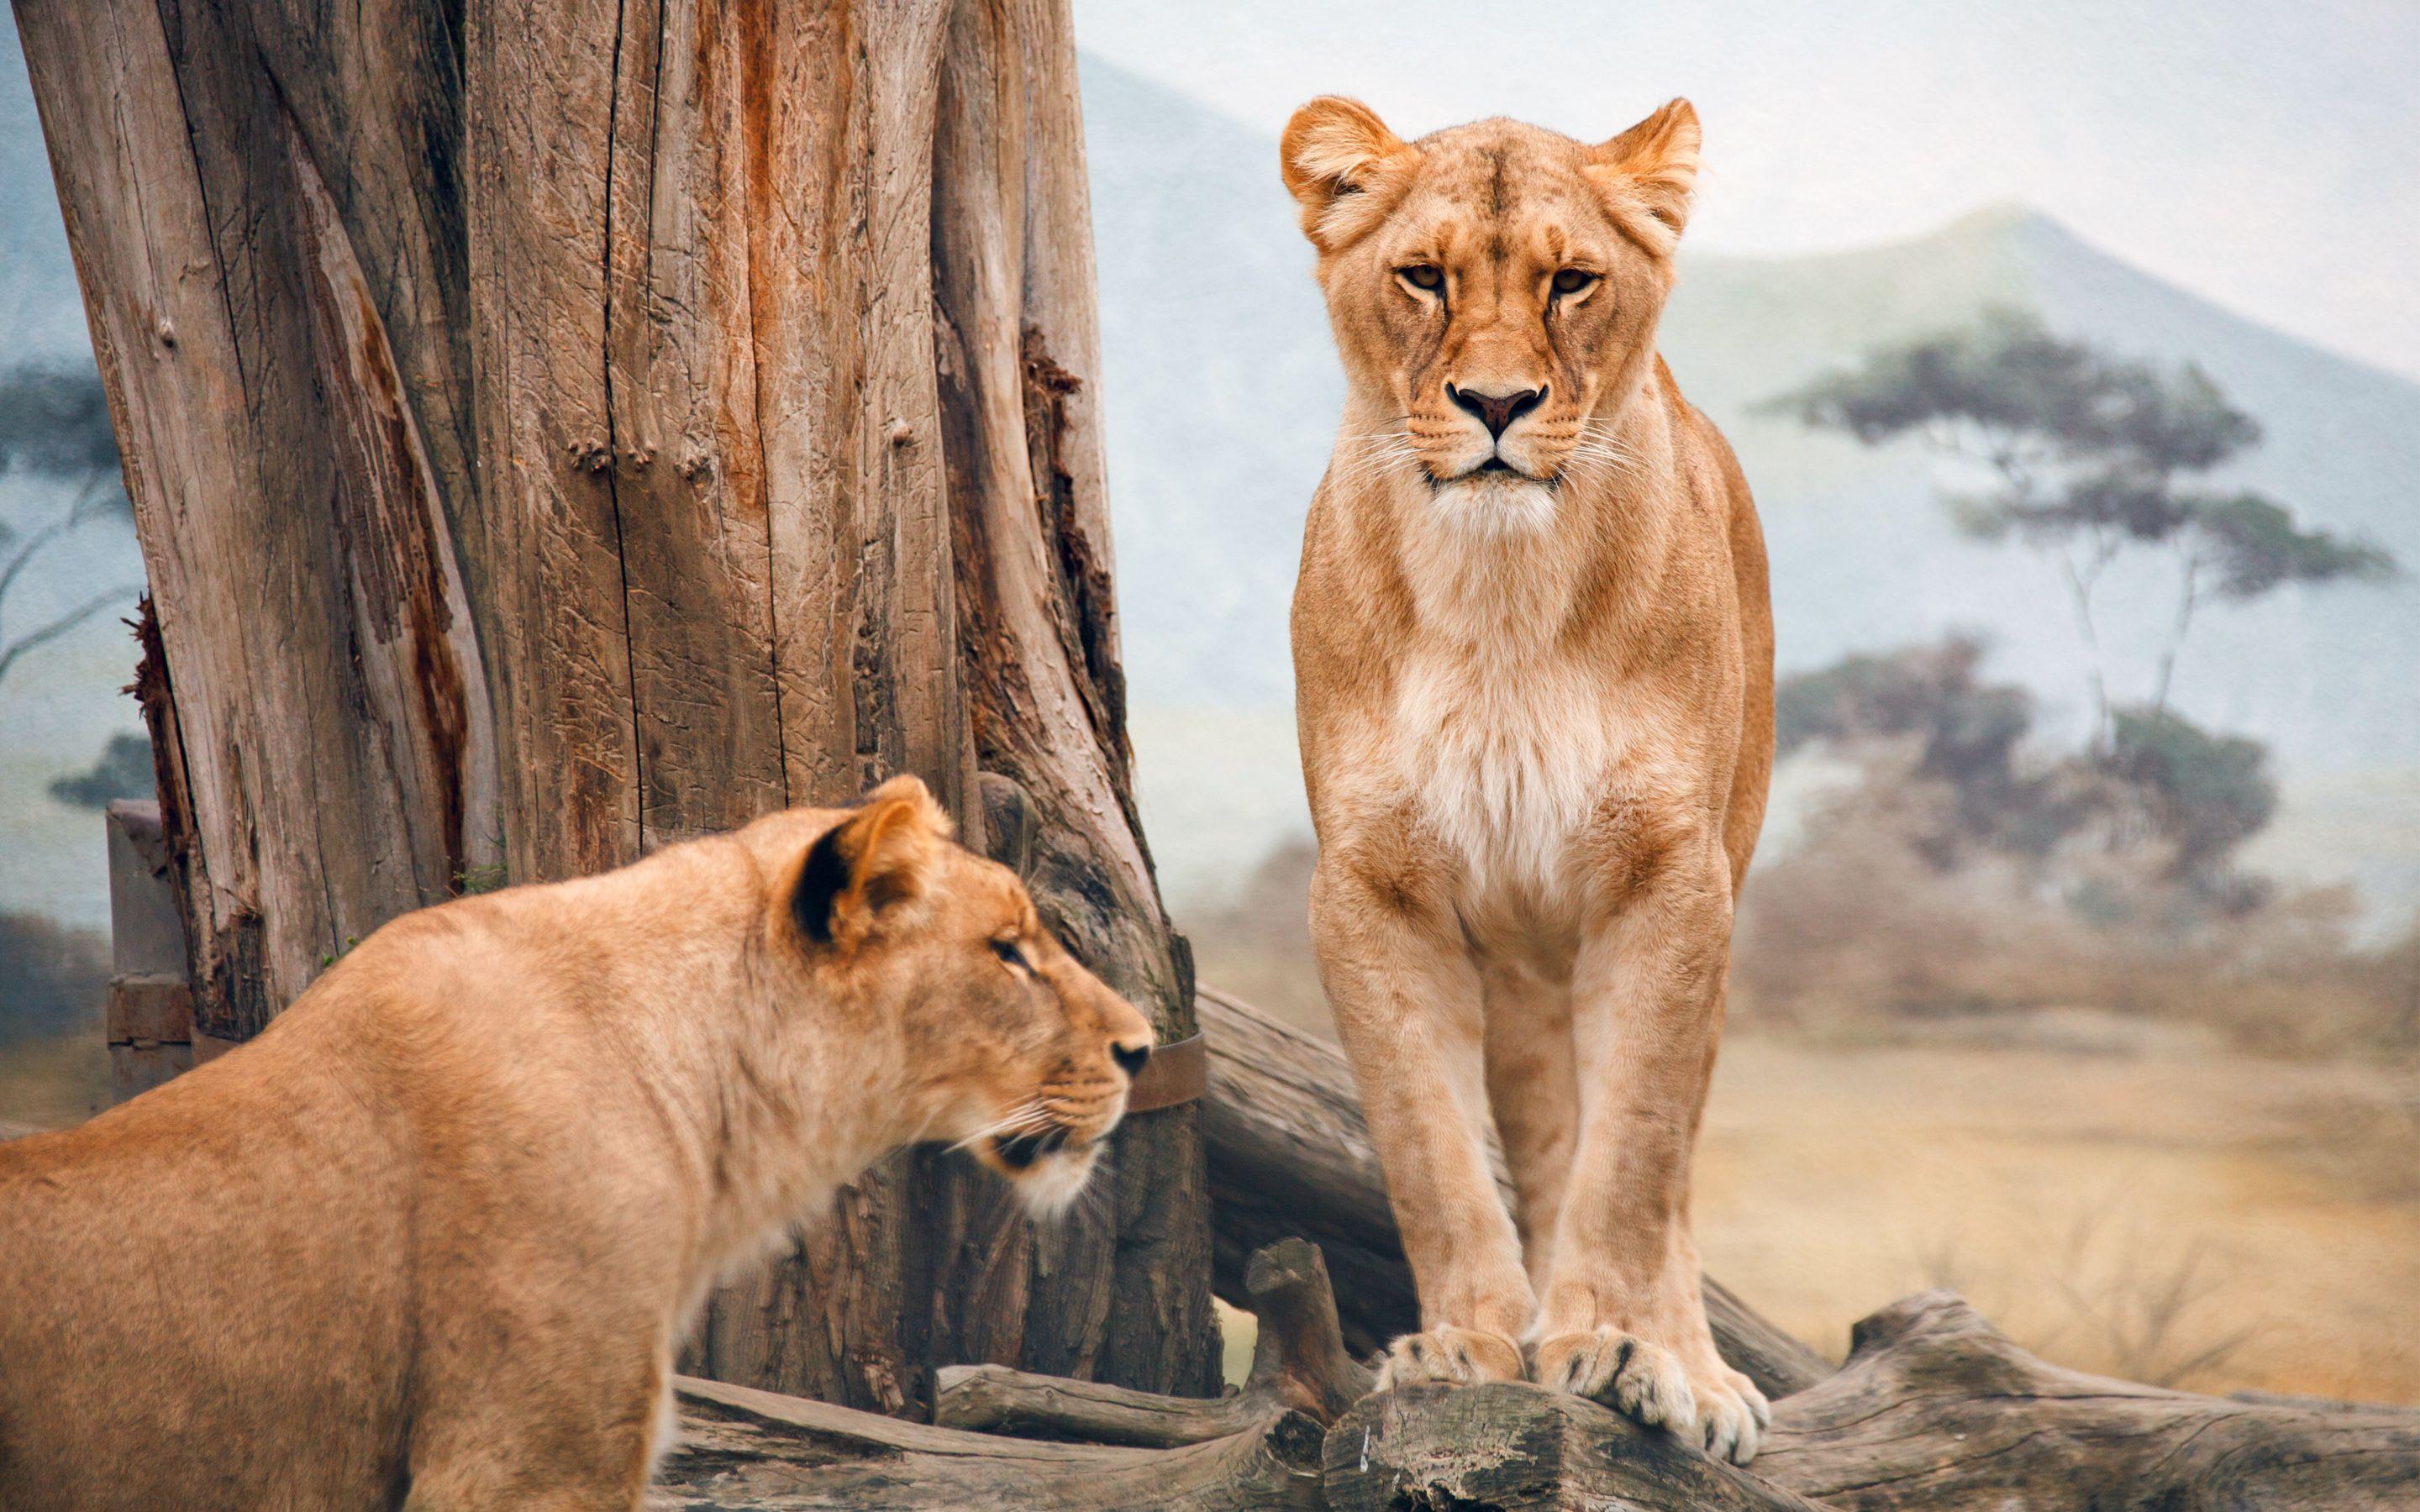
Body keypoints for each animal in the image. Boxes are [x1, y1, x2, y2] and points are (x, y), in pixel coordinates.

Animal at [1281, 97, 1777, 1463]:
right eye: (1422, 276)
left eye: (1571, 281)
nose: (1497, 403)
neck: (1500, 594)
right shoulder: (1371, 891)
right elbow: (1429, 1147)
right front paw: (1465, 1343)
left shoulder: (1670, 882)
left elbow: (1635, 1160)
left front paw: (1614, 1348)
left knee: (1669, 1166)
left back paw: (1693, 1373)